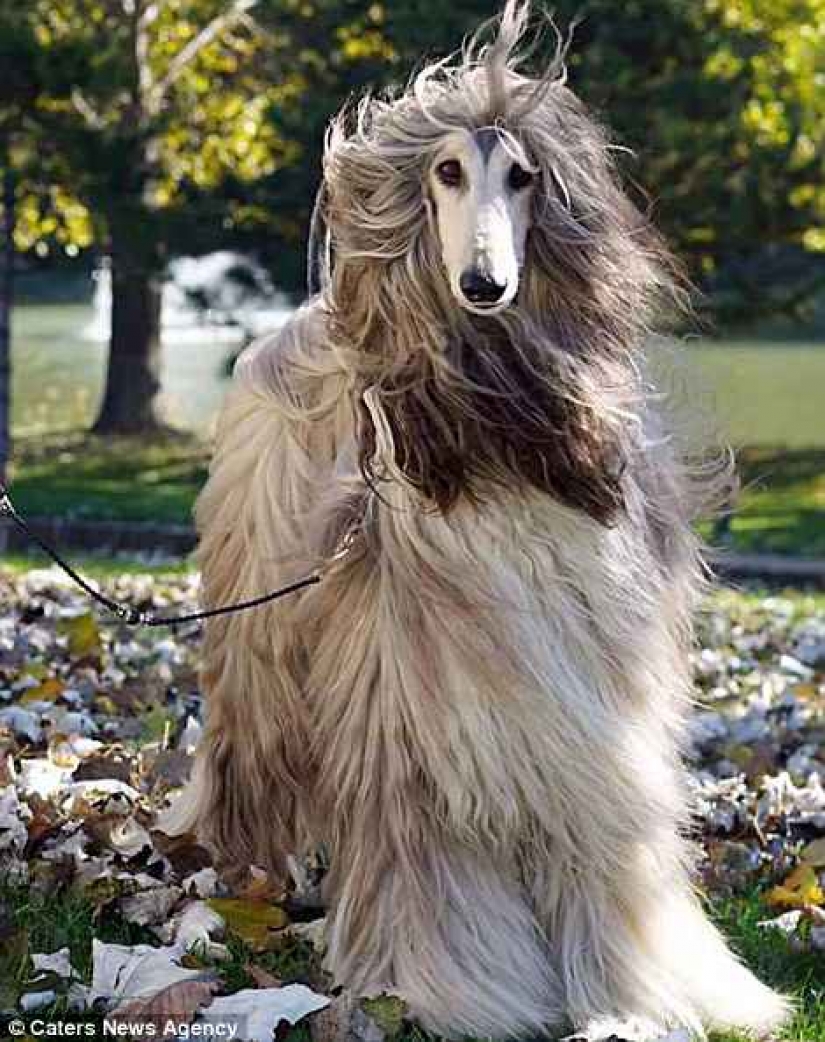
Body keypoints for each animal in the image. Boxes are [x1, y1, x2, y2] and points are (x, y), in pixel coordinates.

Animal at [165, 4, 787, 1037]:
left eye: (524, 176)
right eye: (446, 172)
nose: (484, 285)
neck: (498, 428)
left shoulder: (592, 701)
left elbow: (603, 847)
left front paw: (636, 993)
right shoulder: (414, 709)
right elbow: (428, 858)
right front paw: (453, 989)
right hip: (262, 631)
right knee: (250, 754)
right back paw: (237, 880)